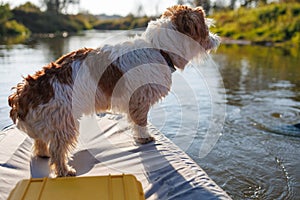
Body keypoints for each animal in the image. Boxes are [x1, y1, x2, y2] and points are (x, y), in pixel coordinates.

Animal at [7, 5, 218, 177]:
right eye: (206, 29)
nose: (217, 39)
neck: (159, 49)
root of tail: (24, 92)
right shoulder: (139, 100)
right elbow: (141, 122)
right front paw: (145, 138)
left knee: (41, 143)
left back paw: (44, 155)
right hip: (64, 123)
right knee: (57, 151)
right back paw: (64, 170)